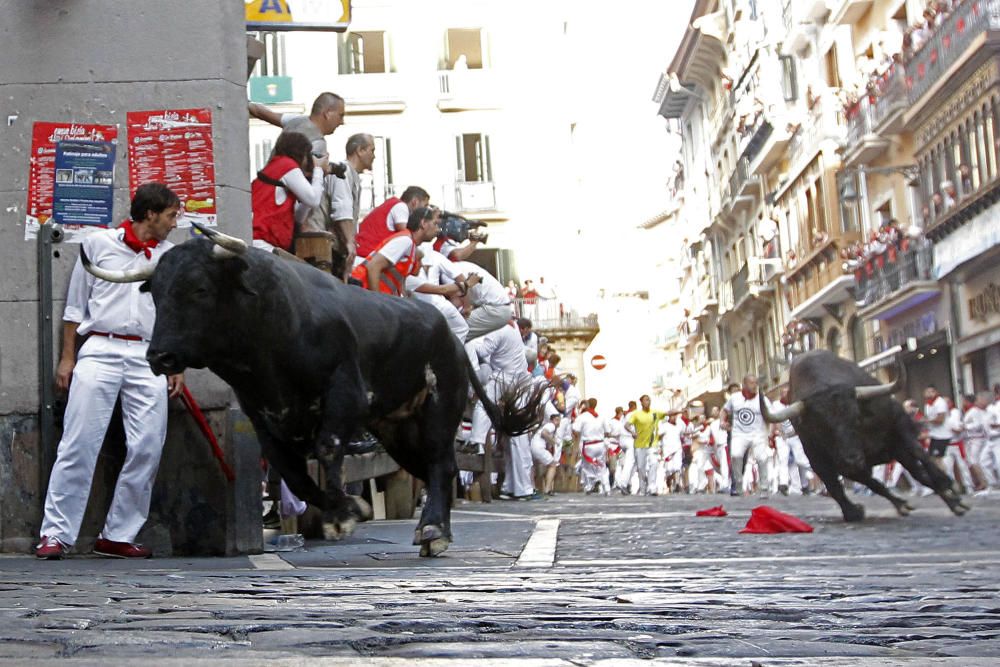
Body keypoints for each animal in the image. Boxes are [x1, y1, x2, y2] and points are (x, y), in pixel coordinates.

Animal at [83, 232, 544, 556]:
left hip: (439, 407)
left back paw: (432, 529)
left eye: (199, 288)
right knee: (436, 467)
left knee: (439, 463)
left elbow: (327, 449)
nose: (159, 355)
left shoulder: (344, 395)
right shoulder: (263, 415)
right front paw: (352, 509)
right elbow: (296, 478)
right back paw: (435, 529)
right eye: (157, 293)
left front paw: (343, 515)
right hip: (397, 429)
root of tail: (452, 335)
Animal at [760, 350, 964, 520]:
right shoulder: (824, 460)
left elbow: (921, 455)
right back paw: (899, 504)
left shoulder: (898, 424)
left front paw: (947, 486)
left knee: (918, 472)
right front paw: (854, 511)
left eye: (855, 417)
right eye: (820, 427)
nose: (851, 459)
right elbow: (845, 486)